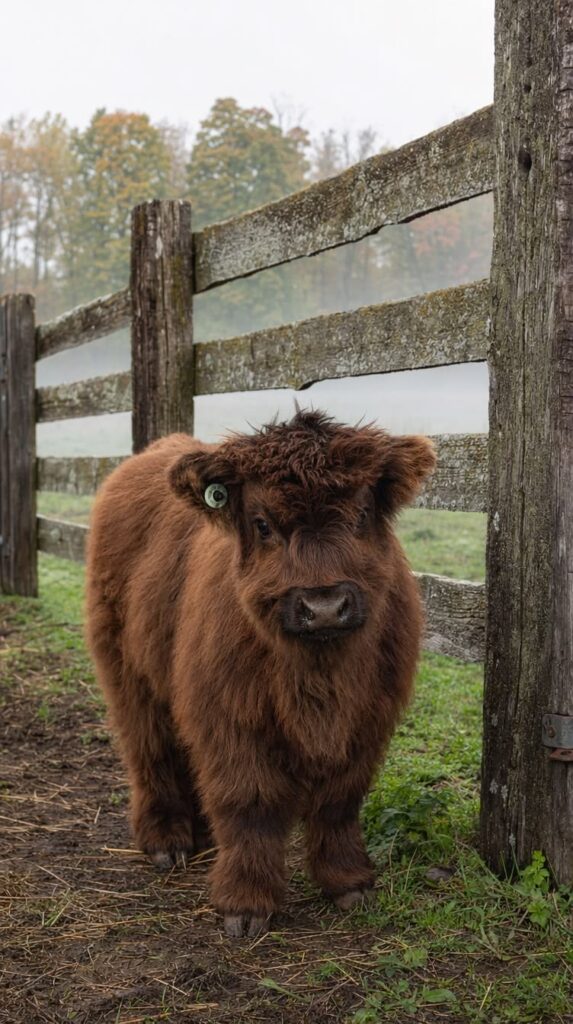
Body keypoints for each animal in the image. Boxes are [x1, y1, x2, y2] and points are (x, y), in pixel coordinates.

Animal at [85, 410, 436, 937]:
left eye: (360, 515)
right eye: (263, 524)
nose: (324, 606)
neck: (318, 677)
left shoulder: (368, 719)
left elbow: (340, 800)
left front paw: (348, 881)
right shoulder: (230, 717)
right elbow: (250, 801)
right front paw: (246, 902)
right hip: (127, 669)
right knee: (149, 746)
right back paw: (167, 838)